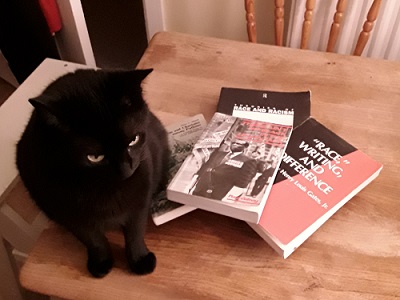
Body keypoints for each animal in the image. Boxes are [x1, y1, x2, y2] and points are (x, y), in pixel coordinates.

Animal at [15, 67, 169, 276]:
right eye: (95, 157)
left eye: (134, 140)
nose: (126, 168)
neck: (107, 190)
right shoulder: (70, 215)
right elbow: (94, 240)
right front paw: (101, 263)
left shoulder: (140, 200)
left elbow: (135, 233)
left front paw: (140, 261)